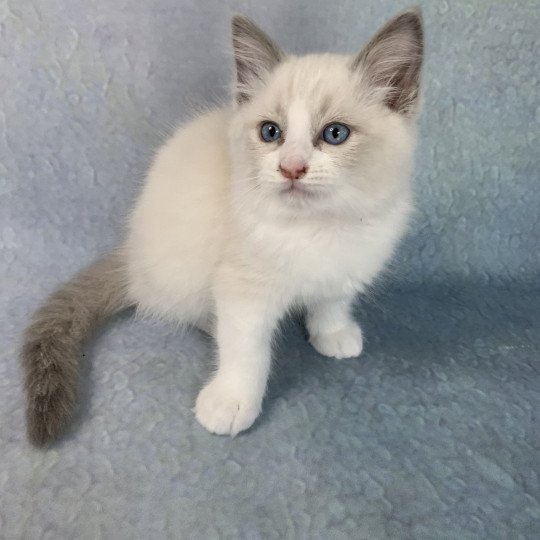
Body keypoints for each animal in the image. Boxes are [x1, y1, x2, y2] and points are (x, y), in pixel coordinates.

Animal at [22, 10, 426, 446]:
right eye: (271, 132)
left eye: (335, 134)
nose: (292, 167)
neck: (315, 228)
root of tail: (130, 256)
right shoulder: (242, 286)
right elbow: (246, 349)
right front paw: (230, 402)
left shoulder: (350, 264)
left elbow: (332, 301)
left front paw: (332, 333)